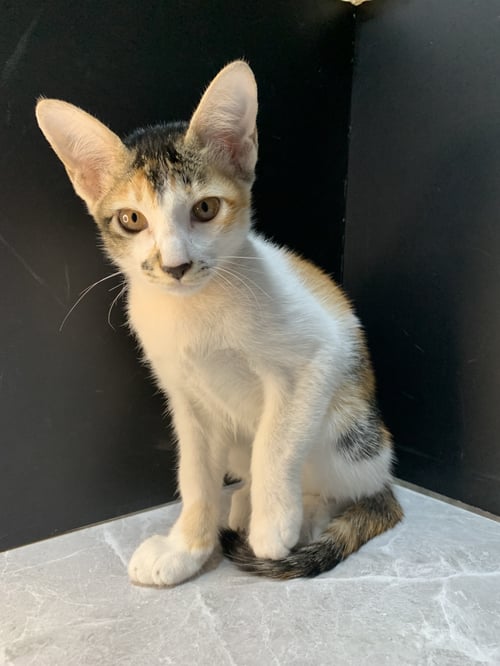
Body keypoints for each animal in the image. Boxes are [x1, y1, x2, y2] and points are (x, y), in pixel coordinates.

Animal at [36, 60, 403, 585]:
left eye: (205, 208)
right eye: (131, 219)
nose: (175, 266)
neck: (195, 310)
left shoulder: (319, 354)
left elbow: (275, 442)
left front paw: (273, 525)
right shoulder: (185, 398)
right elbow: (194, 475)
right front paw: (185, 548)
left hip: (348, 427)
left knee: (343, 486)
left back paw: (299, 514)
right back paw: (243, 502)